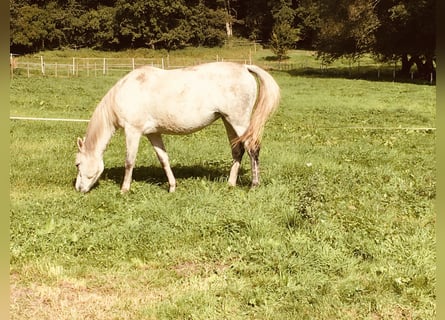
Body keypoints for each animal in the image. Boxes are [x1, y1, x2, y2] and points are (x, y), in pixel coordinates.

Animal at [74, 62, 280, 192]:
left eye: (77, 164)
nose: (78, 188)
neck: (127, 91)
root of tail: (244, 67)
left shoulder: (133, 131)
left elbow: (129, 161)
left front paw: (124, 189)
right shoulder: (153, 134)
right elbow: (163, 159)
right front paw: (172, 187)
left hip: (239, 121)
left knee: (252, 148)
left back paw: (253, 185)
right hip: (228, 121)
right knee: (238, 150)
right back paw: (230, 184)